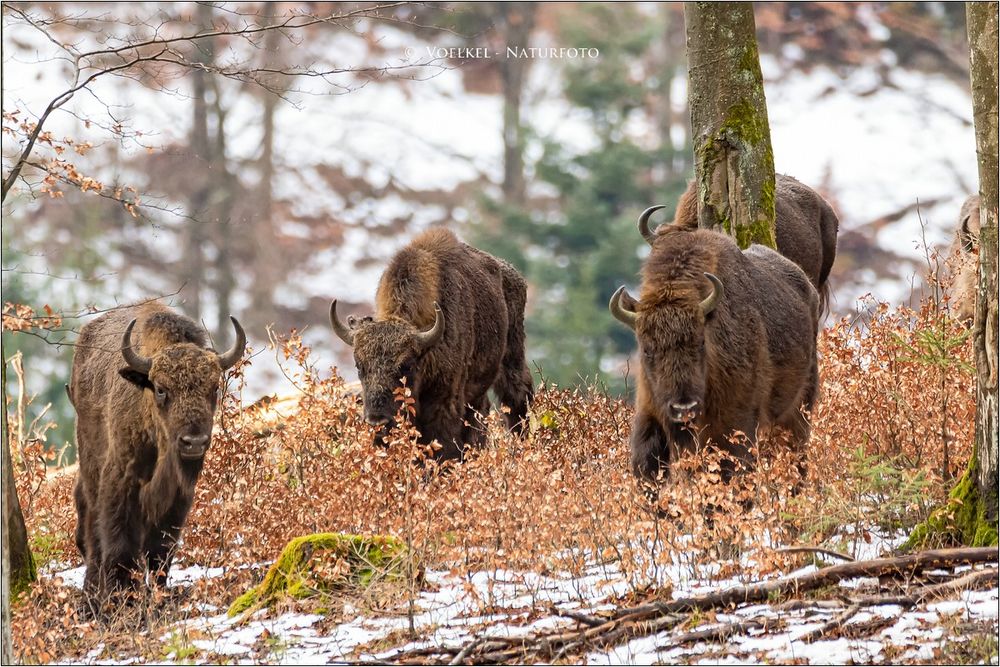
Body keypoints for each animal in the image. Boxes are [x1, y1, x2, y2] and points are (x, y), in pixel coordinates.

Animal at [70, 302, 246, 612]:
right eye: (162, 389)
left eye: (213, 388)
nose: (193, 442)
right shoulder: (120, 482)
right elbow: (120, 544)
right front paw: (121, 598)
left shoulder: (178, 497)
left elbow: (161, 549)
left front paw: (158, 596)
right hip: (91, 463)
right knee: (91, 528)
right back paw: (92, 594)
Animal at [330, 227, 536, 462]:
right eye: (359, 366)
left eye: (406, 366)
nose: (377, 421)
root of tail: (516, 278)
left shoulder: (444, 404)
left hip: (512, 360)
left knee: (517, 400)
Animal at [608, 222, 820, 482]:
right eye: (647, 350)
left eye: (701, 343)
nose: (684, 408)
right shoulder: (650, 417)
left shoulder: (734, 424)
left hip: (797, 411)